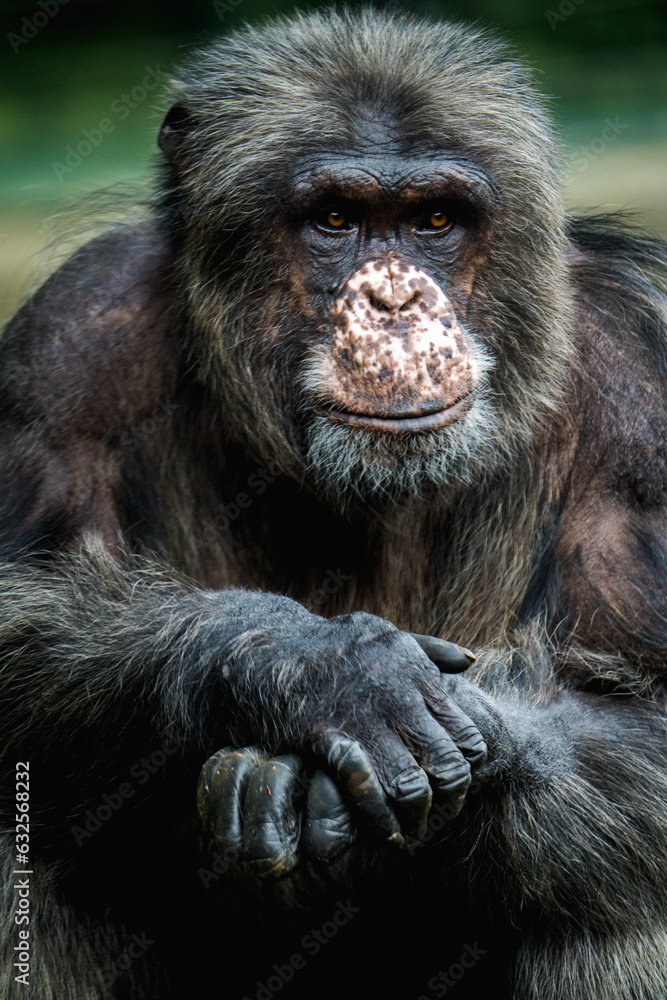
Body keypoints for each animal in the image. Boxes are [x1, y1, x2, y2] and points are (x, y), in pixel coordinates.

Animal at [0, 8, 665, 1000]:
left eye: (434, 219)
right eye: (336, 219)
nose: (392, 299)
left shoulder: (639, 392)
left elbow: (649, 704)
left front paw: (483, 740)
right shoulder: (64, 349)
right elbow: (20, 595)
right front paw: (317, 668)